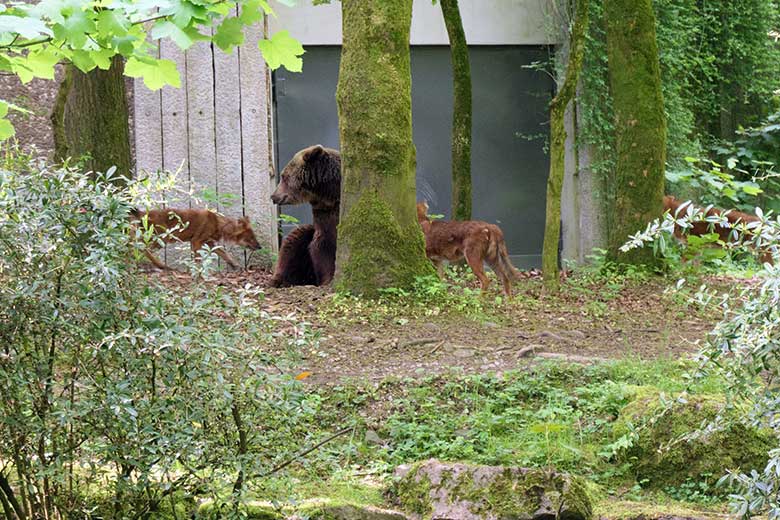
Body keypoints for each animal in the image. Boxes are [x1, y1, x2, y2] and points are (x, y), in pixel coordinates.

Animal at [130, 208, 258, 270]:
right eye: (251, 238)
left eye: (254, 237)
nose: (260, 246)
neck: (218, 224)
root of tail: (143, 213)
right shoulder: (197, 240)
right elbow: (197, 259)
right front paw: (197, 271)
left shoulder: (210, 243)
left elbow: (224, 254)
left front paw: (235, 266)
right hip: (162, 238)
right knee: (141, 248)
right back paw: (161, 265)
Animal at [270, 144, 340, 286]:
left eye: (284, 176)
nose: (273, 196)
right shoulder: (323, 215)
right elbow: (324, 244)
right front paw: (328, 279)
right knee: (291, 246)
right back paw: (278, 279)